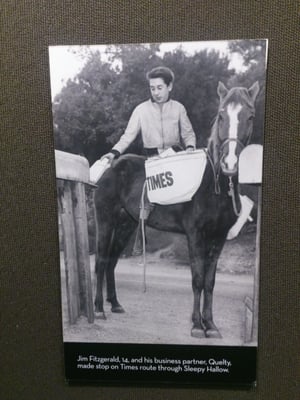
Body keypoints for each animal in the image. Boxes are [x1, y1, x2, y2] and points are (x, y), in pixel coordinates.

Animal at [94, 81, 260, 338]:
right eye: (221, 115)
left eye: (250, 116)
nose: (230, 163)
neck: (212, 185)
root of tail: (111, 165)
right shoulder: (195, 235)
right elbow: (197, 279)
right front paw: (197, 325)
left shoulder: (218, 238)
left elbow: (210, 282)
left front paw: (211, 325)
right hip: (105, 221)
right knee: (101, 261)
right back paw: (99, 309)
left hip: (126, 225)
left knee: (111, 261)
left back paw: (115, 304)